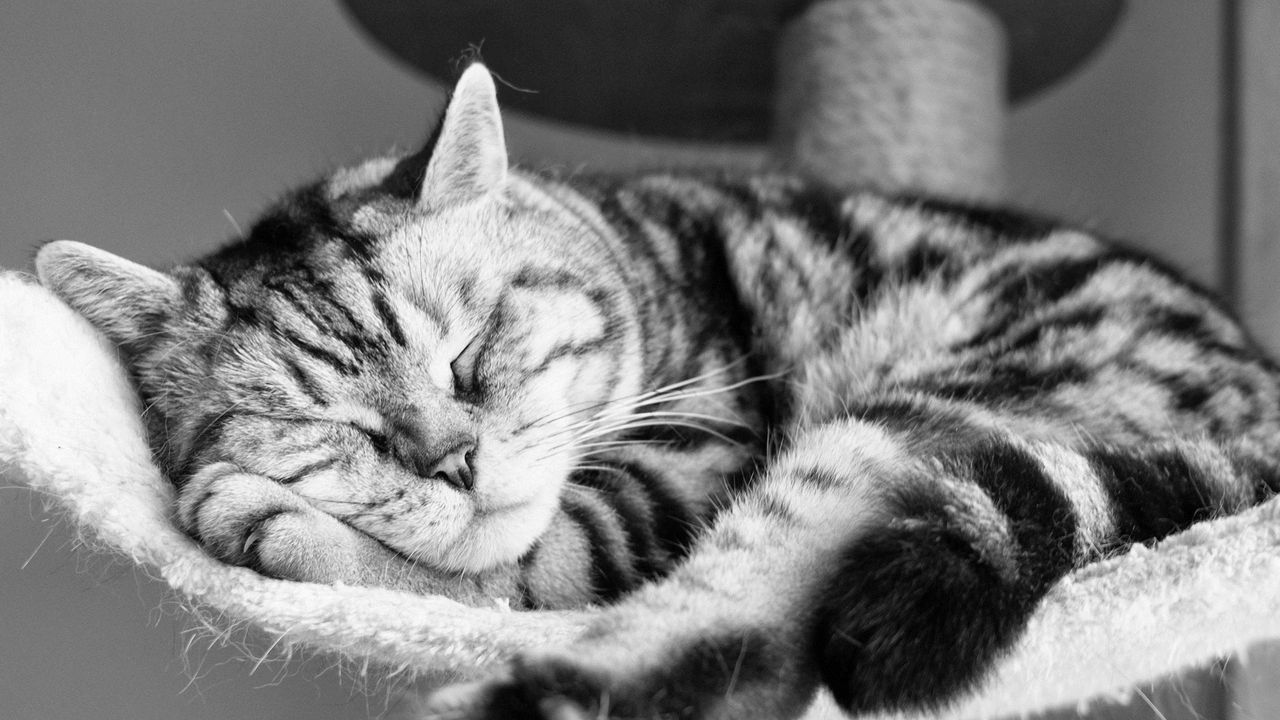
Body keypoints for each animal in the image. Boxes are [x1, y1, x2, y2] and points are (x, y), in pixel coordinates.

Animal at [32, 64, 1280, 712]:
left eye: (471, 351)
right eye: (328, 423)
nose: (453, 459)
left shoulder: (674, 467)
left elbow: (512, 570)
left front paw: (254, 513)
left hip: (893, 424)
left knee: (726, 619)